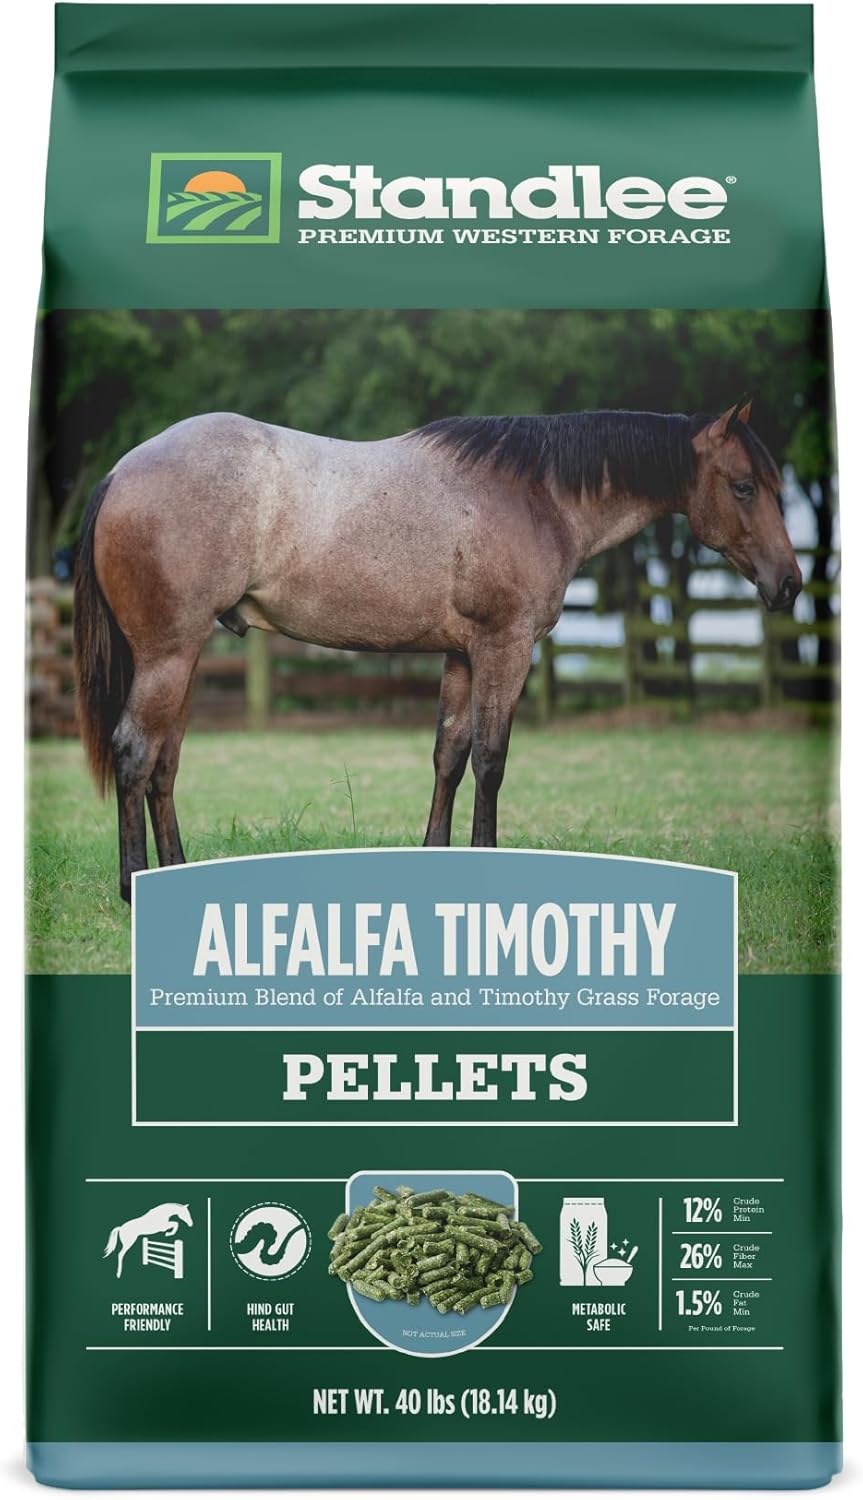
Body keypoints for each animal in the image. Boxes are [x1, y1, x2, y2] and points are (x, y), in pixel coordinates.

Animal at [73, 398, 801, 901]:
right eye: (744, 485)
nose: (789, 582)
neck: (535, 495)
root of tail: (120, 472)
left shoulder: (462, 655)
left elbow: (448, 757)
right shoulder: (504, 648)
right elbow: (490, 760)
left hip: (185, 658)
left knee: (163, 764)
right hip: (168, 656)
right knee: (135, 753)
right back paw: (132, 887)